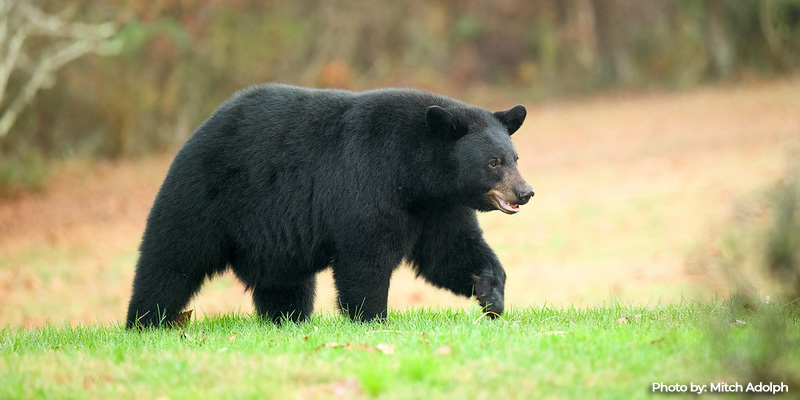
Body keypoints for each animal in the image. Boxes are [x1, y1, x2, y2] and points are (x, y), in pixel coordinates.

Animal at [125, 84, 534, 328]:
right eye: (494, 162)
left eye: (515, 157)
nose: (525, 192)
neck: (414, 174)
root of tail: (202, 128)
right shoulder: (369, 181)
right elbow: (365, 256)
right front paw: (372, 319)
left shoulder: (437, 207)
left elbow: (449, 252)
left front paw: (491, 295)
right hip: (205, 198)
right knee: (171, 260)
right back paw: (145, 321)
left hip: (272, 239)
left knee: (285, 283)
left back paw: (287, 320)